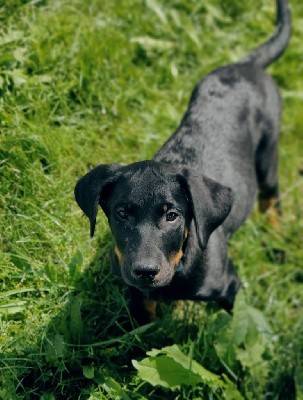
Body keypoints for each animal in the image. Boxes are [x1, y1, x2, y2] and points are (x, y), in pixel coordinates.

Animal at [74, 0, 292, 324]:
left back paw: (277, 238)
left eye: (172, 216)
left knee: (271, 198)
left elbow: (235, 326)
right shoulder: (137, 295)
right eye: (121, 214)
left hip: (268, 153)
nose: (145, 271)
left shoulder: (228, 286)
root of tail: (246, 66)